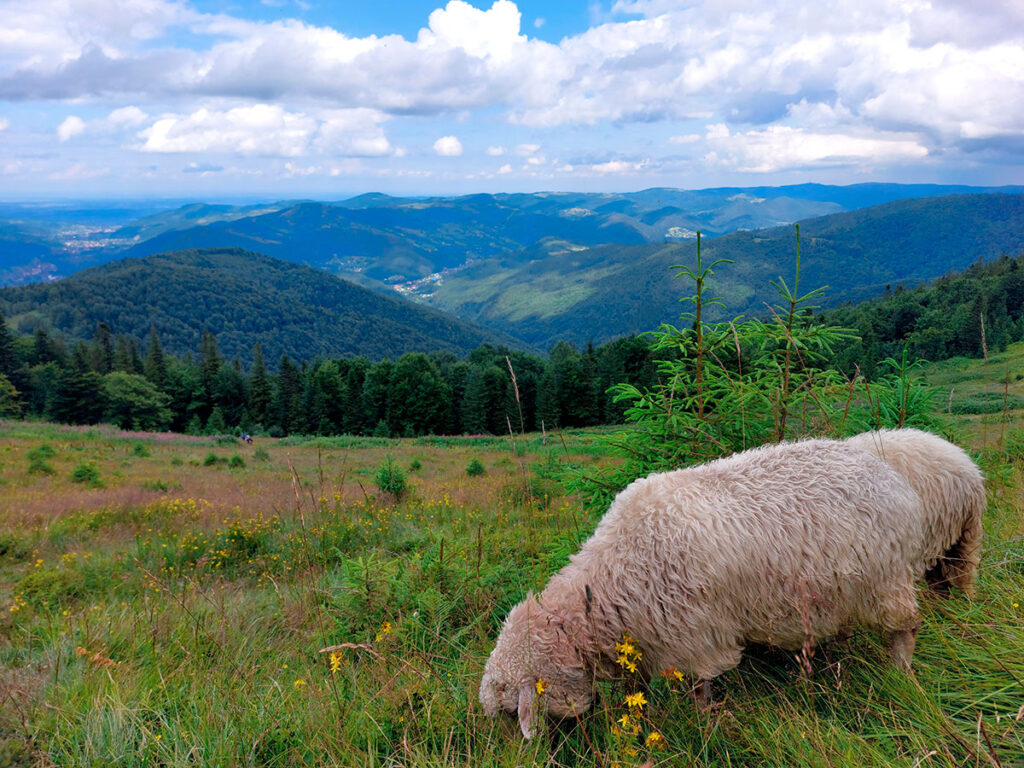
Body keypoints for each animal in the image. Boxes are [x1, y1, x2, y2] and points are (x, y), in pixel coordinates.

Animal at [479, 436, 937, 737]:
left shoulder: (695, 637)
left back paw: (900, 671)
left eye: (511, 713)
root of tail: (891, 473)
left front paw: (703, 725)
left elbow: (700, 689)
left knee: (906, 627)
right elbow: (636, 689)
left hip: (887, 579)